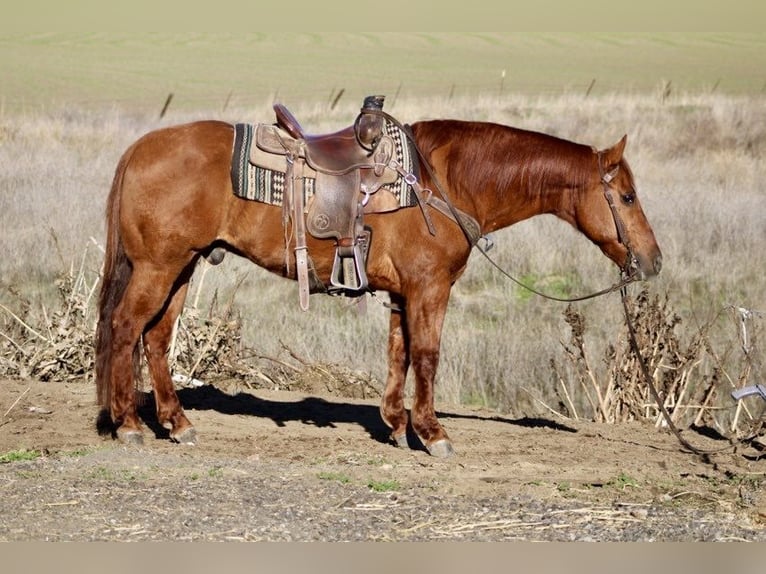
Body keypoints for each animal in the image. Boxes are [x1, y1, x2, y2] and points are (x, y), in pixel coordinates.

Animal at [95, 111, 662, 458]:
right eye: (628, 197)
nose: (653, 261)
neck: (442, 182)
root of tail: (140, 148)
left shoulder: (403, 293)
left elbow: (399, 353)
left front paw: (396, 424)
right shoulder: (430, 289)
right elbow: (427, 355)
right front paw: (433, 434)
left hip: (182, 267)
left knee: (156, 338)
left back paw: (177, 423)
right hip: (157, 267)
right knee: (125, 328)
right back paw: (128, 425)